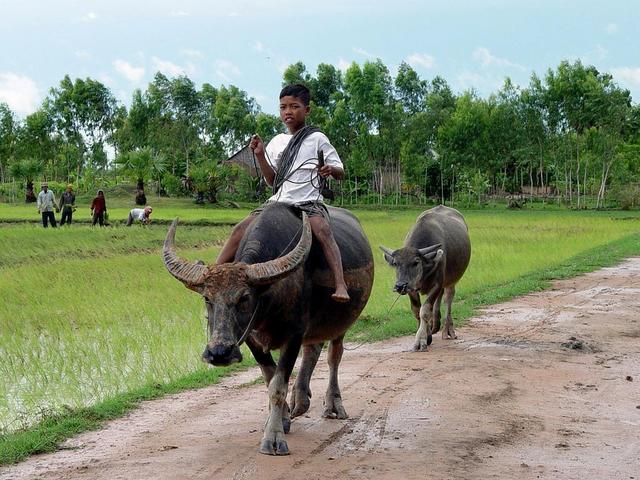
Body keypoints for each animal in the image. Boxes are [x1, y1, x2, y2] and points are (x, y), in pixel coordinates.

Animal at [162, 202, 376, 454]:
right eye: (207, 298)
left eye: (244, 298)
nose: (219, 353)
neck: (270, 297)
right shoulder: (252, 339)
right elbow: (269, 378)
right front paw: (282, 419)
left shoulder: (294, 335)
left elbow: (278, 386)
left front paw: (273, 437)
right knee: (313, 349)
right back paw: (300, 401)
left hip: (341, 322)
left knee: (334, 356)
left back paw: (333, 405)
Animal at [380, 204, 470, 350]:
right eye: (395, 263)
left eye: (416, 262)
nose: (400, 285)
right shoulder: (411, 289)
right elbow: (417, 311)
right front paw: (427, 335)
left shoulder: (437, 284)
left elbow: (425, 310)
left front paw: (421, 340)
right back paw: (435, 324)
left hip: (451, 280)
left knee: (448, 299)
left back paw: (447, 330)